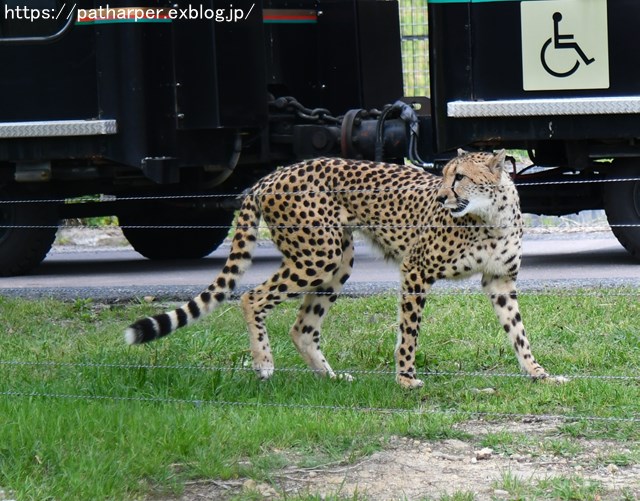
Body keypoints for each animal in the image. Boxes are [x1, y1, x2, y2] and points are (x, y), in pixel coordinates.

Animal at [122, 150, 564, 388]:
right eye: (442, 176)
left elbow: (519, 333)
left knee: (302, 327)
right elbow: (409, 332)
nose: (441, 197)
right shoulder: (416, 269)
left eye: (460, 177)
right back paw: (264, 363)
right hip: (318, 254)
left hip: (337, 260)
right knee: (250, 296)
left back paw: (330, 377)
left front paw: (539, 374)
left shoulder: (500, 280)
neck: (490, 217)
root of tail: (272, 176)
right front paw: (406, 378)